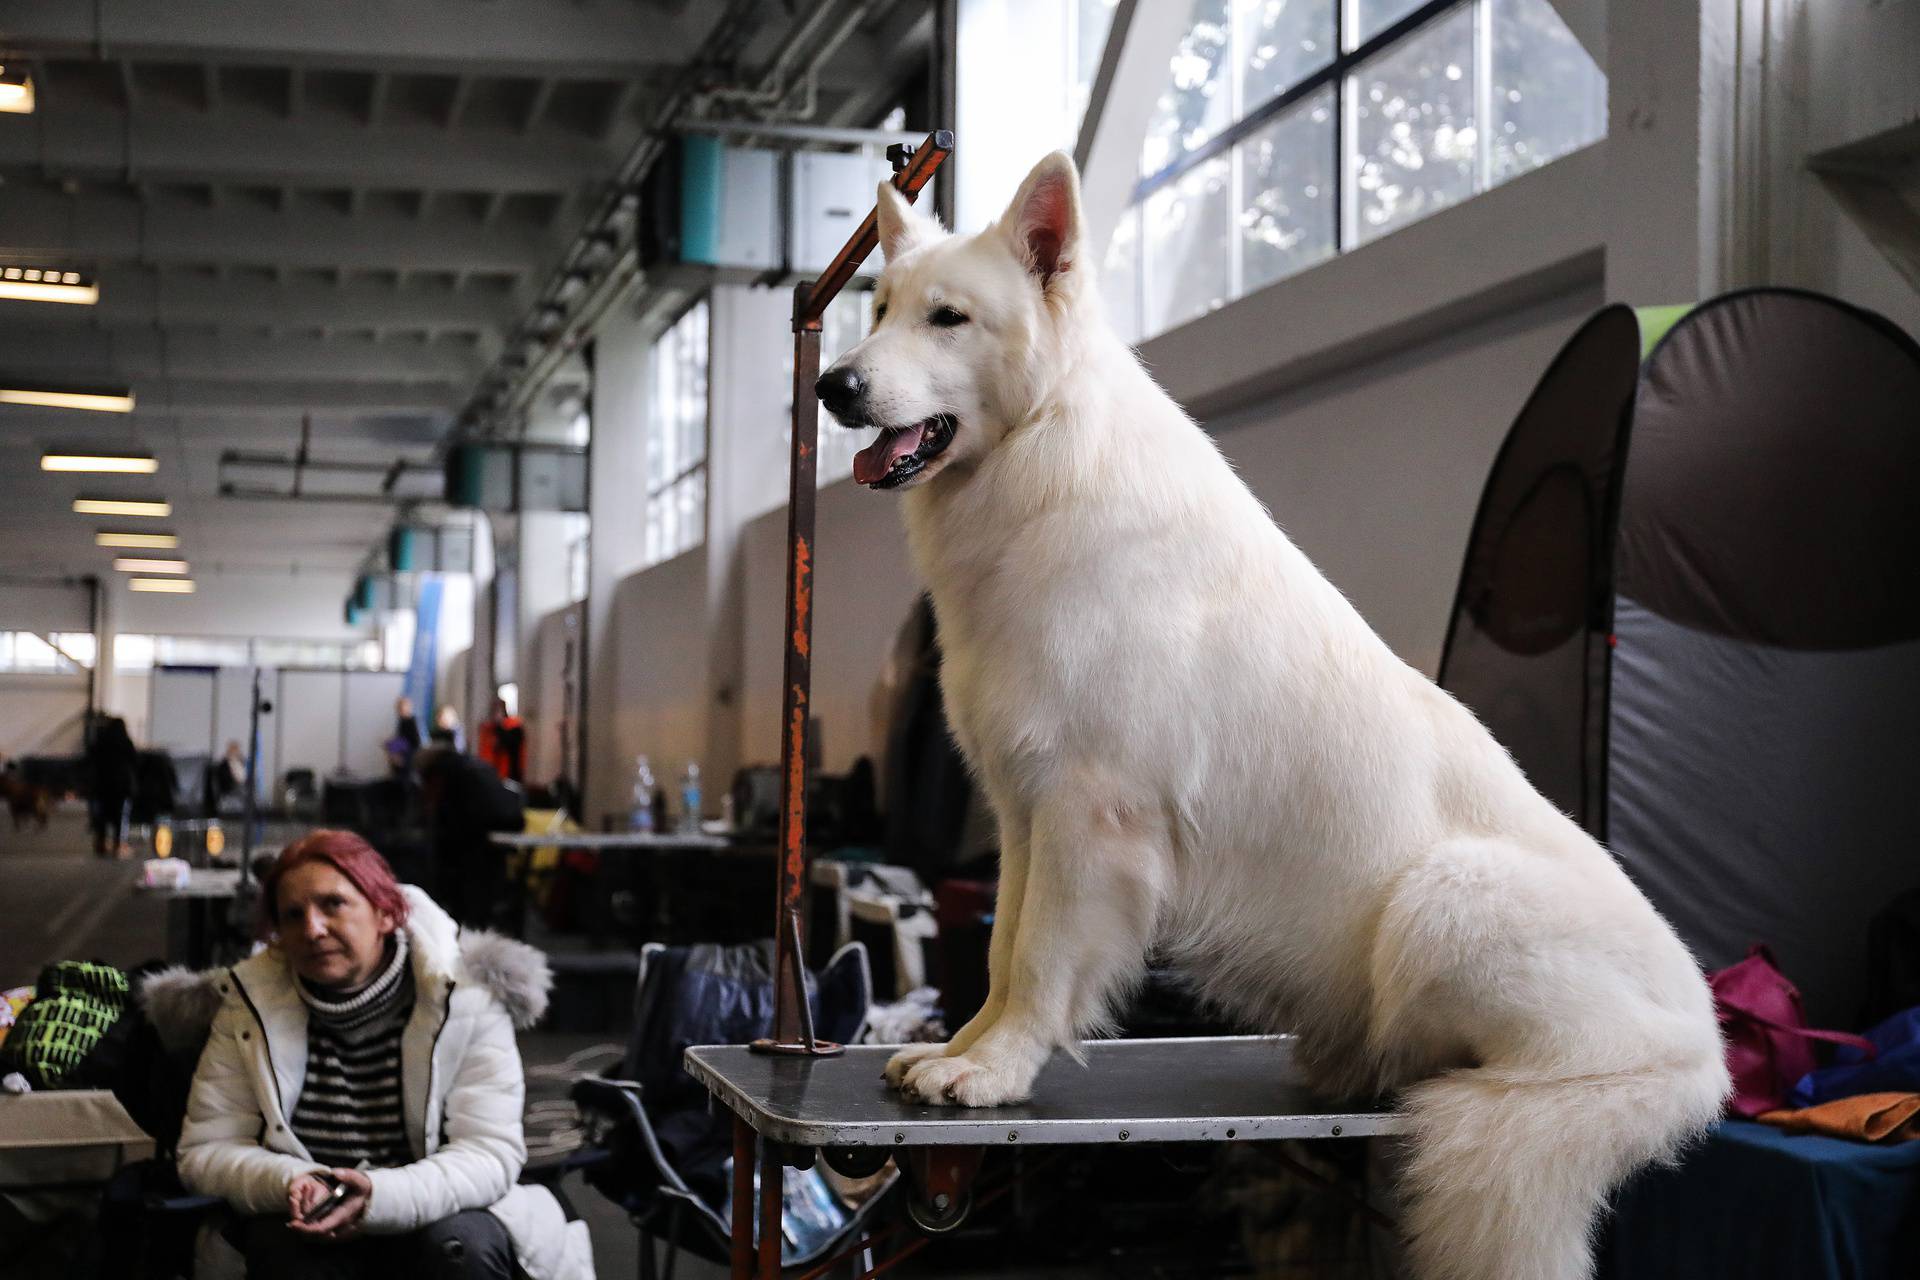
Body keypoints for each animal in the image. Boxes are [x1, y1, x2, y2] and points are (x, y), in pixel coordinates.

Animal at [817, 152, 1735, 1280]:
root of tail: (1706, 1054)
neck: (1045, 459)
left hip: (1444, 898)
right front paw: (963, 1049)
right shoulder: (1027, 812)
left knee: (1525, 1072)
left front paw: (995, 1073)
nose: (834, 385)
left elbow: (1040, 959)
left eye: (948, 319)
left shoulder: (1090, 815)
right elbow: (999, 955)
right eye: (880, 310)